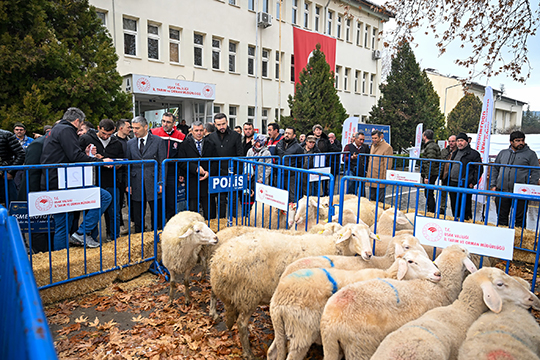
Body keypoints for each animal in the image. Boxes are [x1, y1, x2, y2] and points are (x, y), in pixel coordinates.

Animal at [209, 222, 378, 360]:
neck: (333, 245)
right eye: (354, 234)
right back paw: (248, 352)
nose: (368, 254)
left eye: (369, 235)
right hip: (248, 295)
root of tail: (218, 261)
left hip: (237, 295)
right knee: (242, 323)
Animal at [268, 249, 440, 360]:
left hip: (286, 328)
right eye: (411, 261)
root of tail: (277, 301)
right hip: (302, 331)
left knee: (273, 351)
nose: (438, 274)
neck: (388, 274)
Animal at [318, 243, 474, 358]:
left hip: (333, 347)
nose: (437, 273)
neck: (440, 287)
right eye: (410, 261)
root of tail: (330, 323)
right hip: (360, 347)